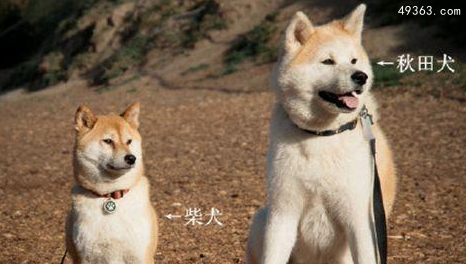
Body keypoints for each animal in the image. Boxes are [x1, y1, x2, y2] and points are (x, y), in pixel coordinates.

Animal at [65, 103, 158, 264]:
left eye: (129, 141)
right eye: (108, 141)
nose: (131, 158)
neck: (112, 194)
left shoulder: (140, 255)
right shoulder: (86, 257)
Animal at [246, 4, 396, 264]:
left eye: (354, 60)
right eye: (328, 61)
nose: (361, 76)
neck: (322, 135)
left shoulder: (360, 219)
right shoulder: (283, 211)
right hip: (261, 219)